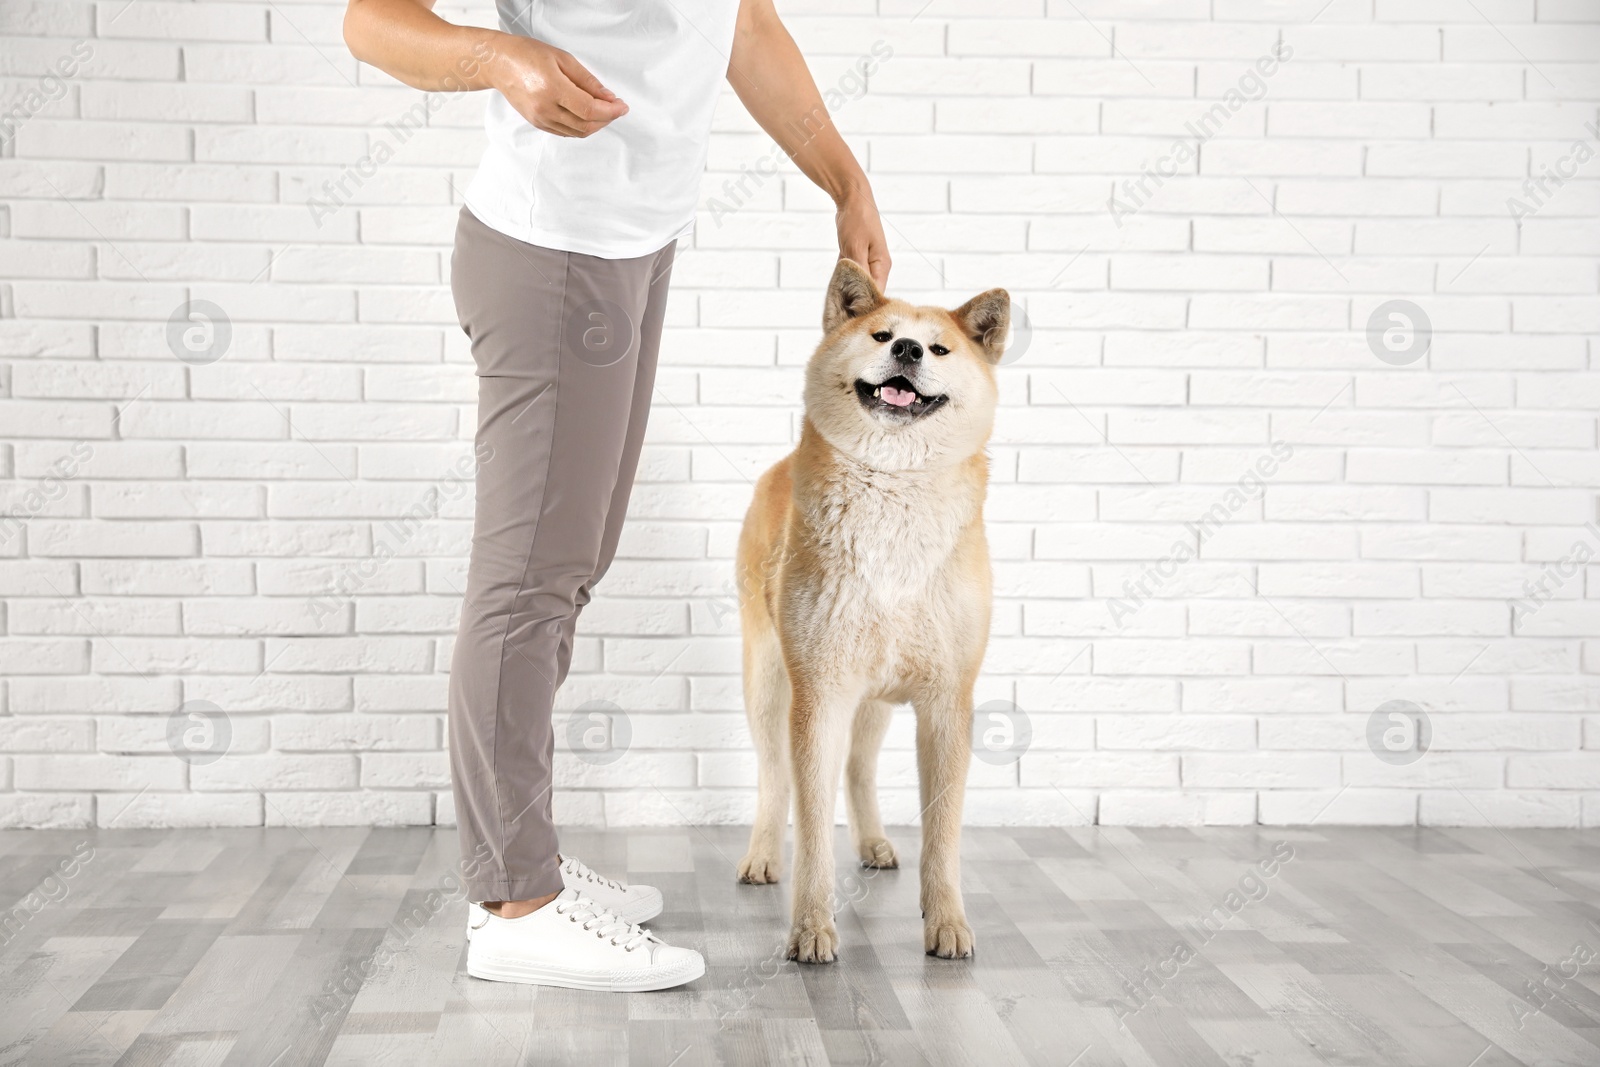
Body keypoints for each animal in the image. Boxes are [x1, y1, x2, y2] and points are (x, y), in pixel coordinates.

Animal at [732, 255, 1004, 959]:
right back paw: (763, 856)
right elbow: (810, 823)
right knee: (773, 777)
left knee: (859, 768)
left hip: (877, 700)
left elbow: (942, 832)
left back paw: (875, 842)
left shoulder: (946, 700)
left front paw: (946, 921)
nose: (907, 349)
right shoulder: (819, 694)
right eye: (882, 335)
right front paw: (810, 927)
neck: (894, 499)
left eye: (940, 348)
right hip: (769, 682)